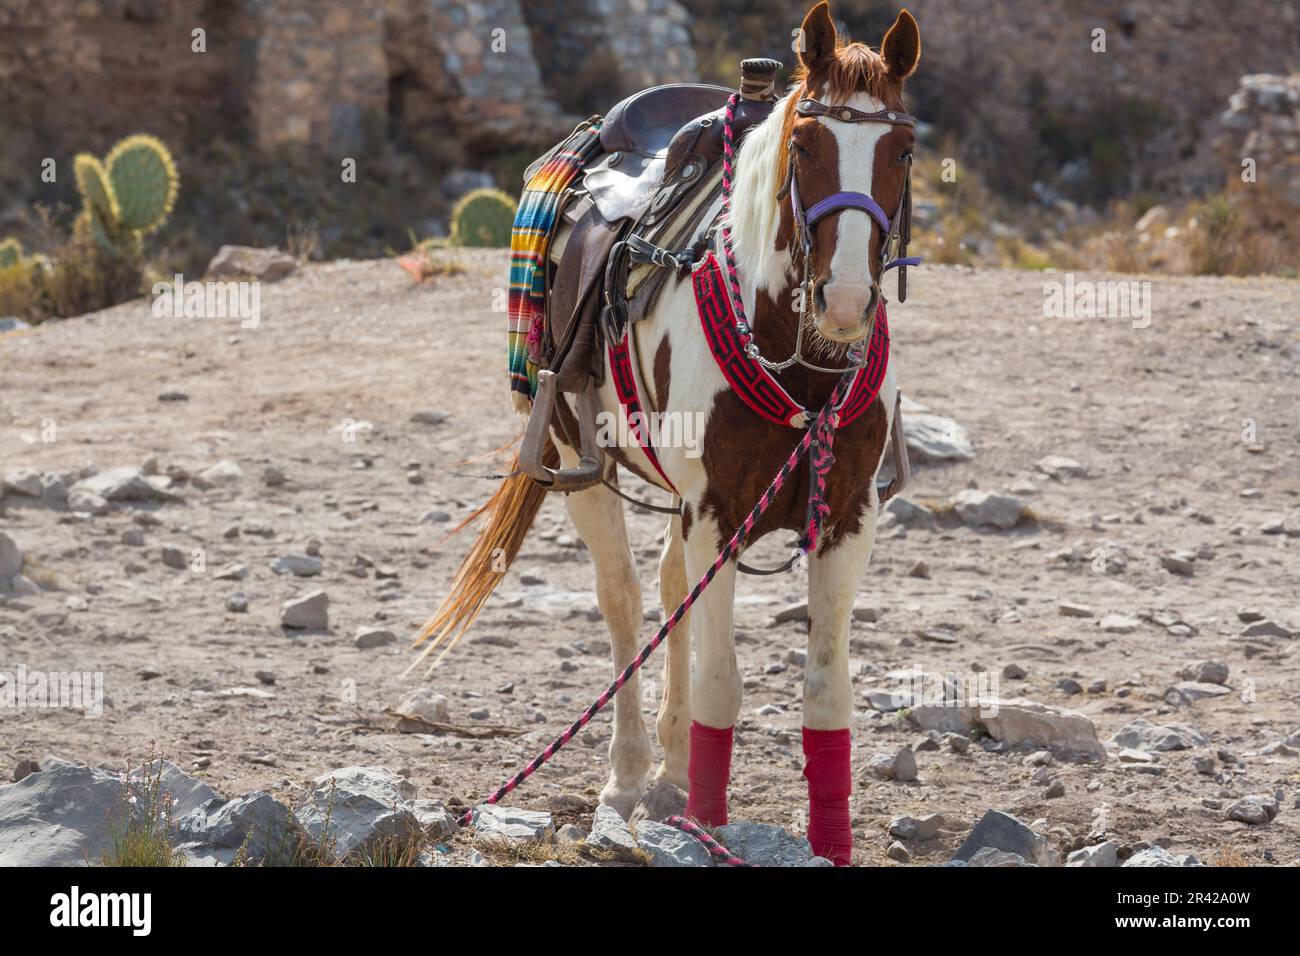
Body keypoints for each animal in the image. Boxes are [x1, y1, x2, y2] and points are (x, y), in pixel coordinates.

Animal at [416, 1, 925, 868]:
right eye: (805, 146)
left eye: (904, 149)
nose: (847, 302)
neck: (799, 362)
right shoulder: (716, 508)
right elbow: (724, 678)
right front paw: (709, 827)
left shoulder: (850, 515)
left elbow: (827, 691)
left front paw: (825, 839)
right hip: (575, 459)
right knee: (624, 603)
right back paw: (627, 778)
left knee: (667, 594)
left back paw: (671, 767)